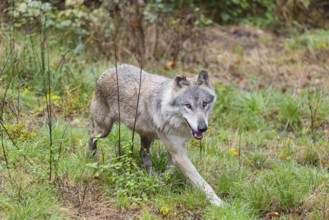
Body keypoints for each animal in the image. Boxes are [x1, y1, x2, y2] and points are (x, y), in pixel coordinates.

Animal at [87, 63, 222, 206]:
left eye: (204, 104)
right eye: (188, 105)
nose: (202, 128)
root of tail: (107, 71)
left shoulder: (175, 150)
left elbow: (171, 169)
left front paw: (163, 180)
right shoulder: (178, 153)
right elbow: (200, 181)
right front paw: (219, 203)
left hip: (147, 136)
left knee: (142, 152)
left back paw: (151, 174)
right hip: (103, 130)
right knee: (91, 137)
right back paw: (89, 157)